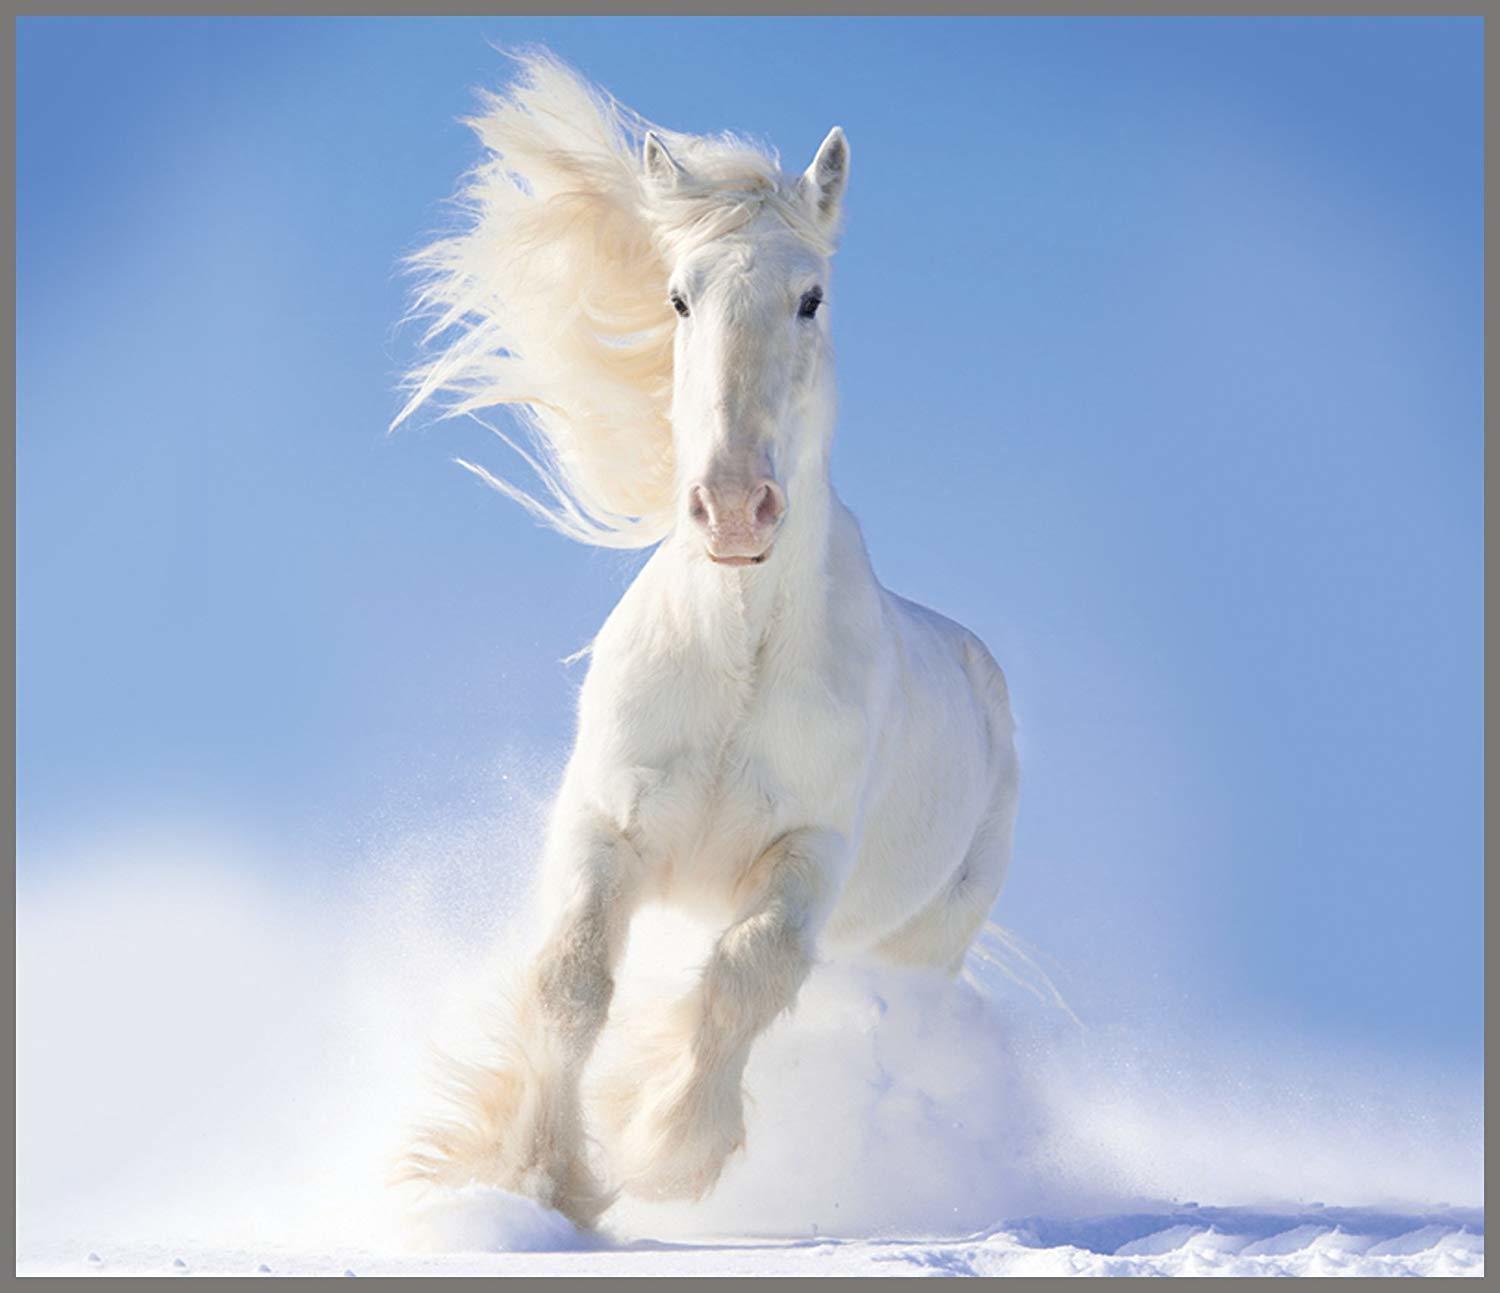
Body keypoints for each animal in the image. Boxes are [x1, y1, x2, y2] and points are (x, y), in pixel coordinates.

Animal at [393, 52, 1019, 1227]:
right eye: (679, 296)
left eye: (812, 297)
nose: (734, 508)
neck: (735, 656)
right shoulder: (607, 825)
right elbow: (571, 982)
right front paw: (536, 1177)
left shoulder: (807, 858)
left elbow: (745, 976)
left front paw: (667, 1152)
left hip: (921, 948)